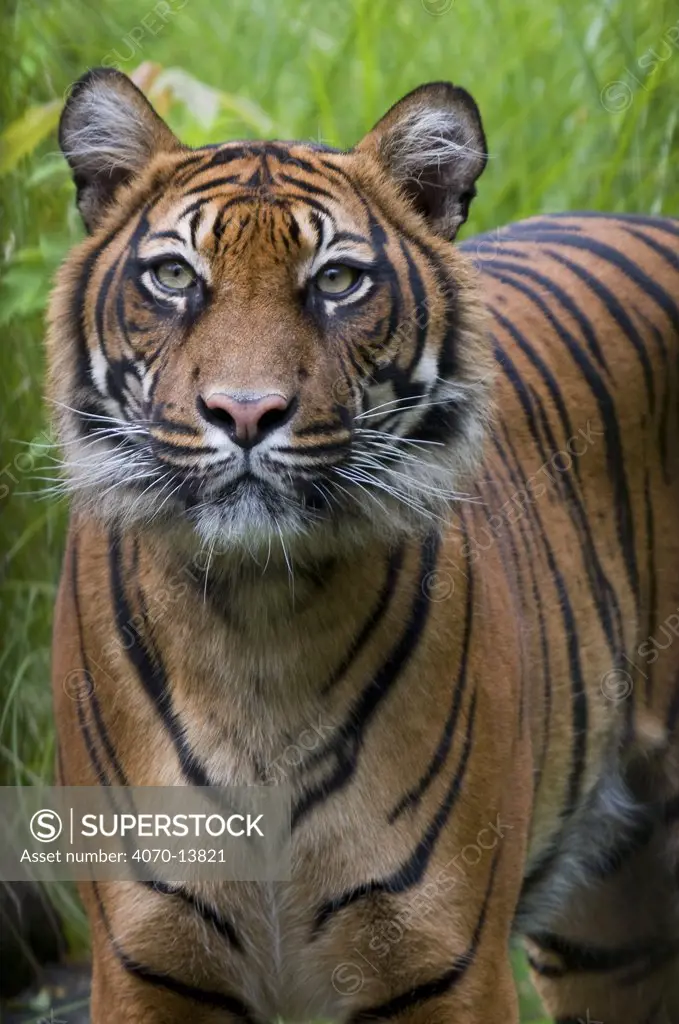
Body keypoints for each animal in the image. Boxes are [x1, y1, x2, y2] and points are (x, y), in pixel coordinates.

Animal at [46, 68, 679, 1019]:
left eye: (338, 280)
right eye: (173, 276)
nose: (245, 412)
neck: (255, 625)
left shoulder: (443, 960)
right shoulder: (144, 964)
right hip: (611, 931)